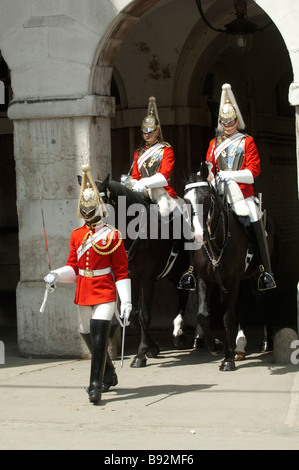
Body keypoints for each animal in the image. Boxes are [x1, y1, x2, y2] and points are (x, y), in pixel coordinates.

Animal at [94, 175, 190, 368]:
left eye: (102, 200)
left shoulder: (148, 279)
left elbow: (144, 315)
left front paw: (140, 354)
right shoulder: (132, 278)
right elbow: (134, 313)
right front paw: (153, 348)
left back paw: (182, 332)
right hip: (173, 273)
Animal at [184, 162, 278, 370]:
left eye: (206, 197)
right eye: (186, 201)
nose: (198, 235)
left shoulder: (232, 280)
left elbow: (228, 317)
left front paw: (227, 360)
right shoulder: (205, 280)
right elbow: (203, 315)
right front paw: (215, 346)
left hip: (256, 277)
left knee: (266, 302)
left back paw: (265, 342)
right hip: (243, 280)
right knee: (243, 306)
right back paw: (240, 347)